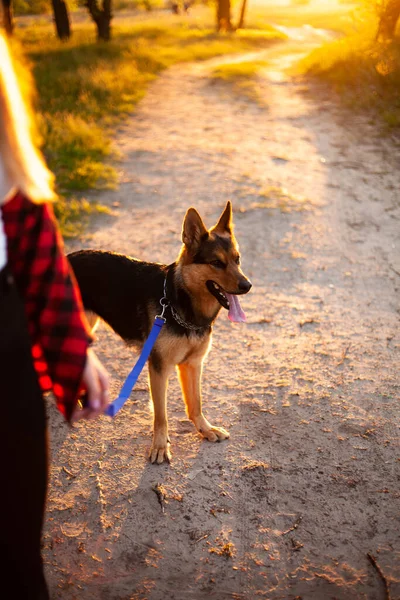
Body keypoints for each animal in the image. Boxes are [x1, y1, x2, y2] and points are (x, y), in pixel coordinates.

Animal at [68, 202, 250, 464]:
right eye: (217, 263)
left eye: (237, 260)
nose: (247, 286)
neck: (178, 303)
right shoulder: (159, 368)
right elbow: (161, 415)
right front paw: (160, 446)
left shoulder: (193, 364)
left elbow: (195, 403)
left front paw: (205, 429)